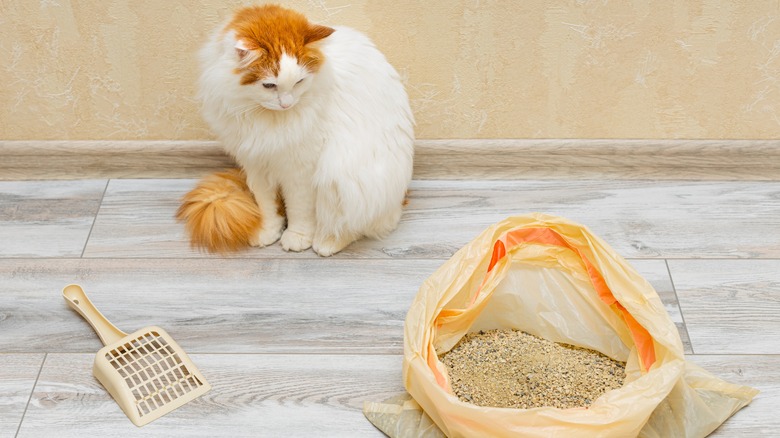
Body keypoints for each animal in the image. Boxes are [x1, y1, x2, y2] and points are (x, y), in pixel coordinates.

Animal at [178, 3, 414, 255]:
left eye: (299, 82)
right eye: (269, 85)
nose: (287, 104)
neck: (264, 118)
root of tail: (402, 195)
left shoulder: (300, 170)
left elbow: (299, 210)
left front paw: (298, 237)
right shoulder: (256, 163)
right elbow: (266, 205)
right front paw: (268, 231)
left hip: (345, 176)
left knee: (362, 225)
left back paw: (326, 242)